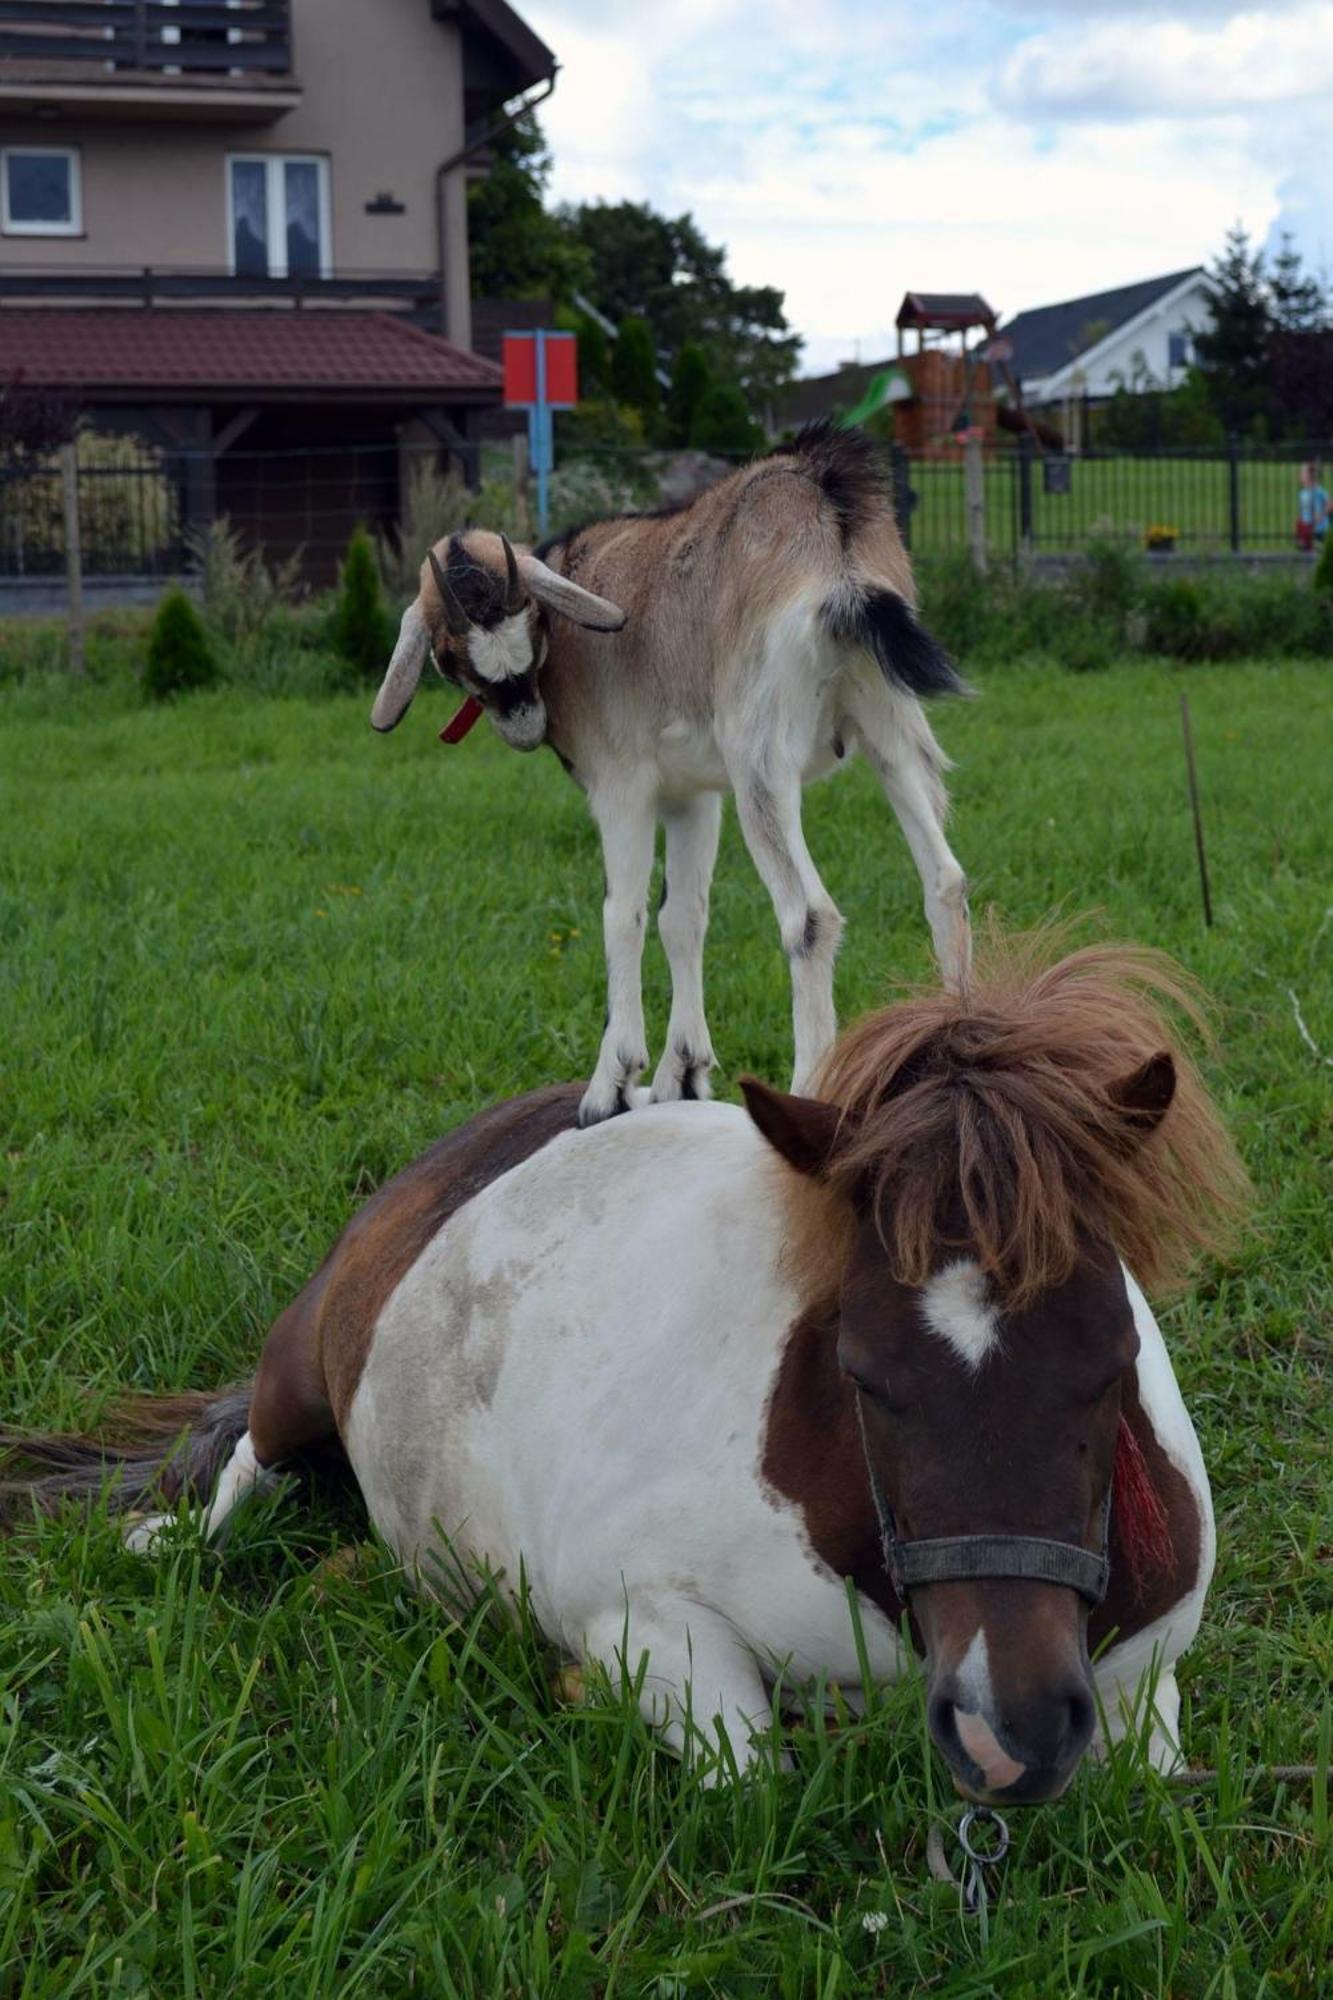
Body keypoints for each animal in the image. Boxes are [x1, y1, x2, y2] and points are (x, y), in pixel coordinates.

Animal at [2, 936, 1248, 1800]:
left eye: (1113, 1360)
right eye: (862, 1373)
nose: (1011, 1732)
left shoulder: (1140, 1685)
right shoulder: (647, 1625)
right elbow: (749, 1775)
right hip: (300, 1376)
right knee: (248, 1469)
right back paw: (177, 1541)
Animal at [368, 422, 972, 1128]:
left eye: (534, 628)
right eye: (448, 652)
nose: (523, 724)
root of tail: (829, 517)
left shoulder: (620, 788)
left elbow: (622, 915)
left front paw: (611, 1084)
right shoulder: (694, 797)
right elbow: (682, 916)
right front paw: (681, 1073)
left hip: (760, 756)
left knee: (810, 915)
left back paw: (806, 1089)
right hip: (890, 725)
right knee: (945, 881)